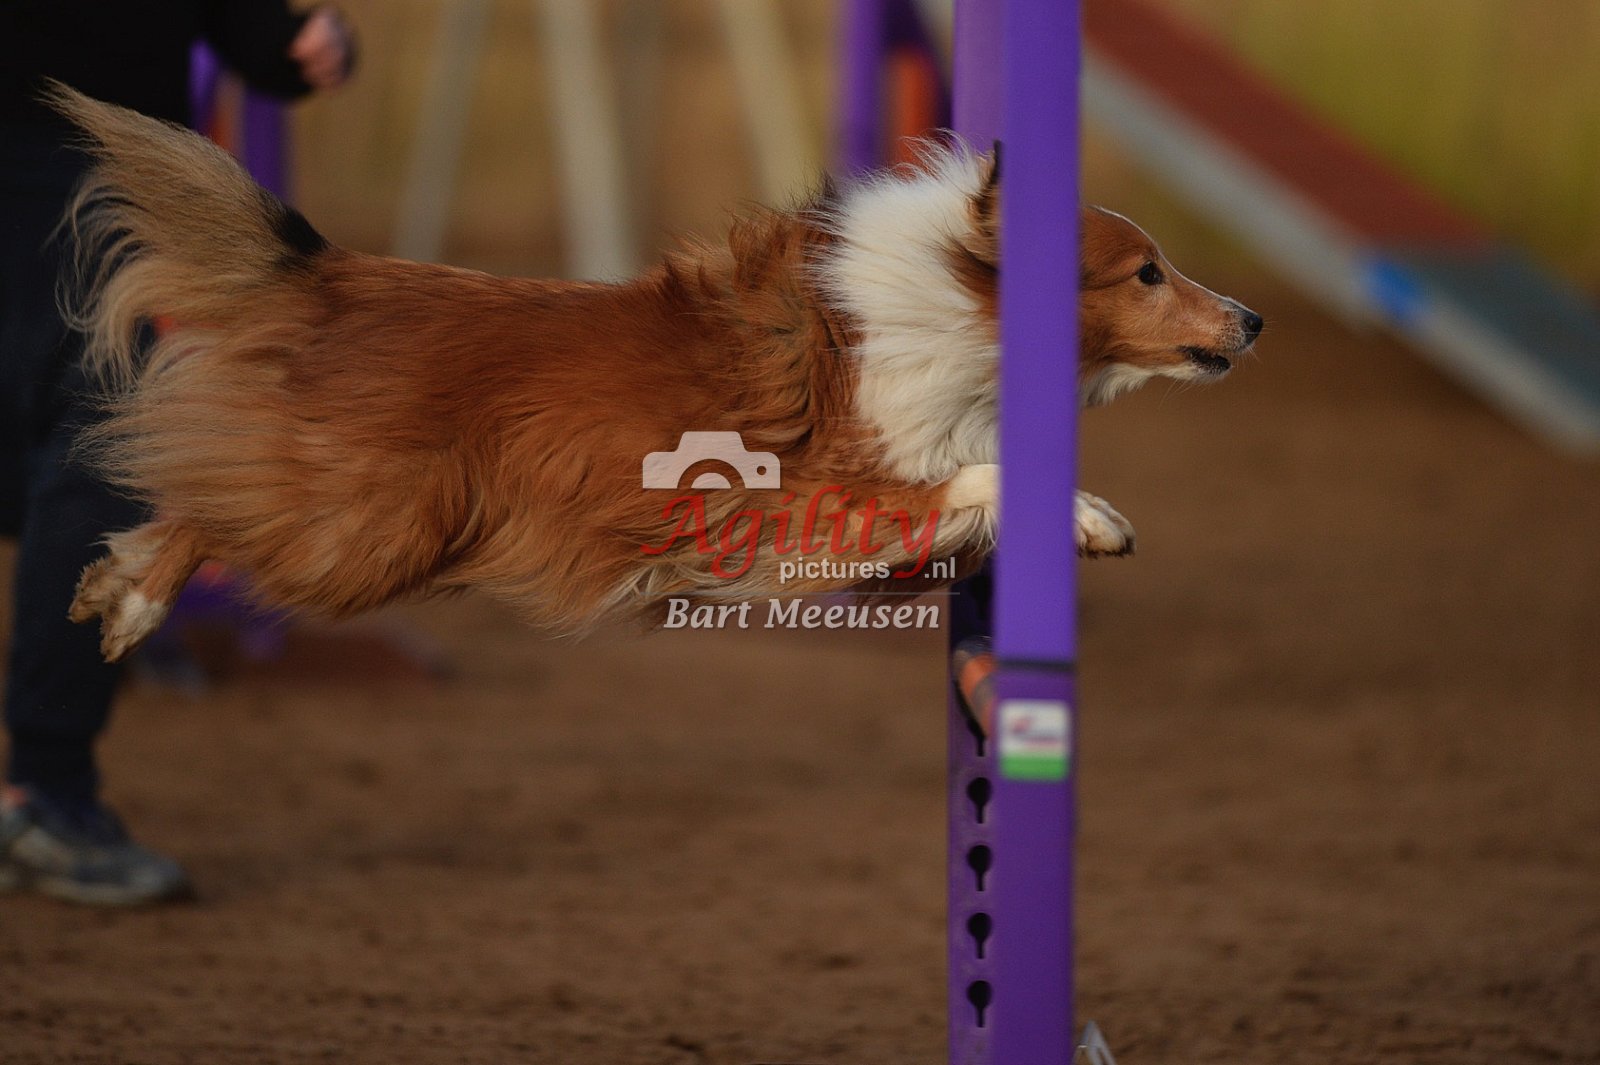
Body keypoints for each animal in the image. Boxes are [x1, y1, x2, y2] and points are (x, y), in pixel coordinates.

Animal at [49, 86, 1261, 661]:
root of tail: (337, 270)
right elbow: (981, 477)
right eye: (1146, 271)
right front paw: (1091, 514)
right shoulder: (815, 499)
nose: (1250, 320)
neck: (947, 303)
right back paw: (135, 596)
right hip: (368, 531)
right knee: (204, 500)